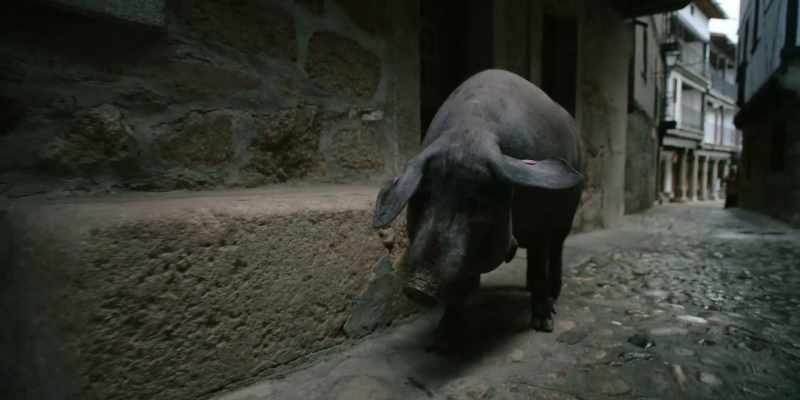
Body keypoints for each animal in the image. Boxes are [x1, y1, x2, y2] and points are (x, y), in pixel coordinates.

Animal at [373, 69, 584, 346]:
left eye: (478, 205)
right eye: (421, 199)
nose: (418, 288)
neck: (470, 130)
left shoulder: (540, 222)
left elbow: (540, 264)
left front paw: (543, 326)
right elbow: (462, 284)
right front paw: (441, 340)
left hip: (566, 216)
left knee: (556, 248)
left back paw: (554, 294)